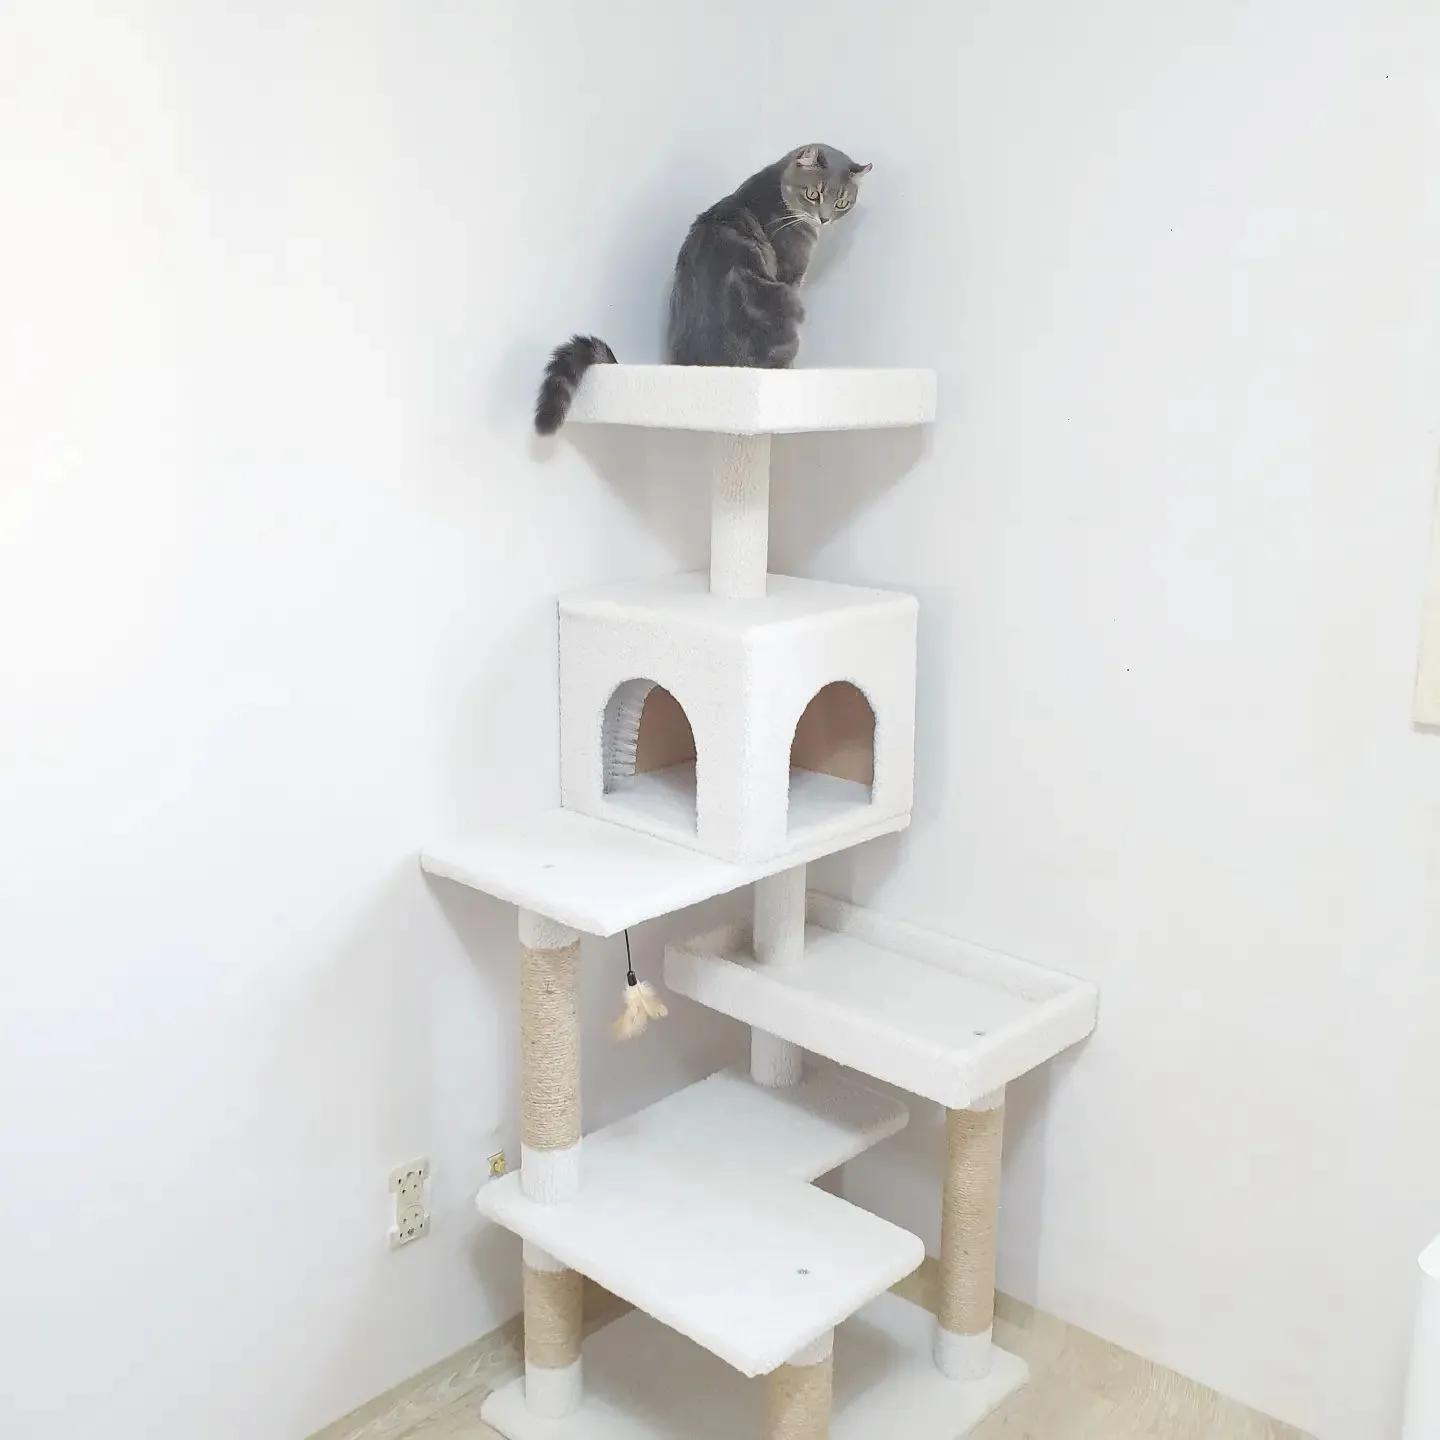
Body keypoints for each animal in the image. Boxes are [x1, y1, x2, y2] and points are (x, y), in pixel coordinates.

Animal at [533, 144, 870, 434]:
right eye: (813, 194)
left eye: (842, 202)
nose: (824, 219)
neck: (778, 188)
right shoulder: (791, 275)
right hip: (786, 304)